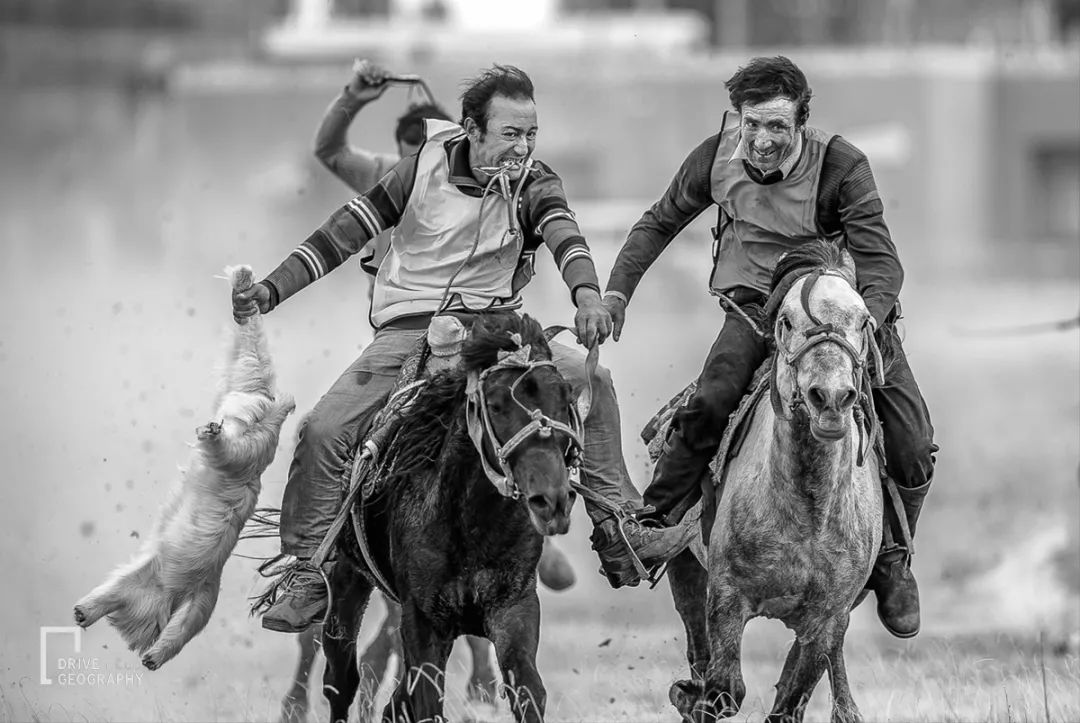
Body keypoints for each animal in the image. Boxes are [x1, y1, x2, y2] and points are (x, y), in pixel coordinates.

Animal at [321, 313, 583, 721]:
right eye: (495, 404)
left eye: (566, 398)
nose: (551, 501)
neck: (472, 526)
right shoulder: (423, 620)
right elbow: (426, 698)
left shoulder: (514, 608)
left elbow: (528, 689)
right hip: (345, 587)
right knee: (341, 680)